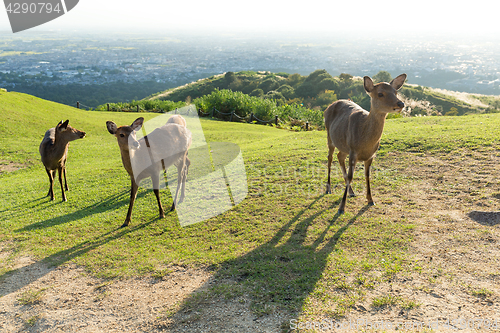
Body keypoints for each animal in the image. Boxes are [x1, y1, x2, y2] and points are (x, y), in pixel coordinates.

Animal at [324, 73, 406, 214]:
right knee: (330, 158)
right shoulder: (353, 151)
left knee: (340, 156)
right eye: (380, 94)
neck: (365, 143)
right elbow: (351, 176)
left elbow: (367, 176)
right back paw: (328, 189)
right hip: (330, 135)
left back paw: (351, 191)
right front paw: (341, 208)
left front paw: (371, 200)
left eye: (395, 92)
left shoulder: (371, 155)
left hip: (344, 146)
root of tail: (329, 106)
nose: (401, 103)